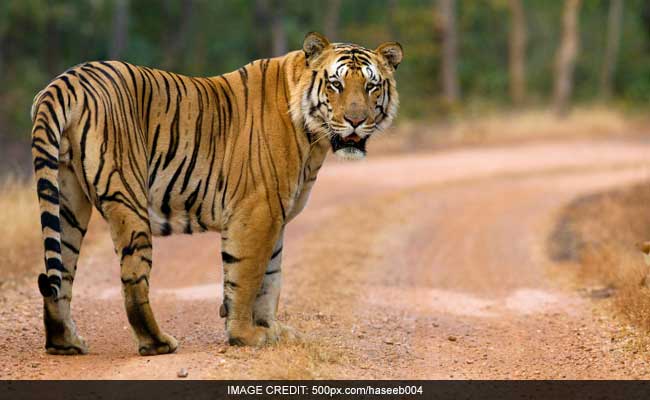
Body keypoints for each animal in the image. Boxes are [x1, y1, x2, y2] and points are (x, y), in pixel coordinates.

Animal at [30, 32, 403, 355]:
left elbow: (271, 279)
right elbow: (247, 276)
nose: (355, 121)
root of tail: (66, 81)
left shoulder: (276, 216)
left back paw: (65, 343)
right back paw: (158, 343)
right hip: (127, 196)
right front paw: (245, 336)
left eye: (371, 86)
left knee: (60, 273)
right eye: (335, 83)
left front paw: (271, 329)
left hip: (68, 200)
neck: (314, 140)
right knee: (133, 280)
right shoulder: (257, 212)